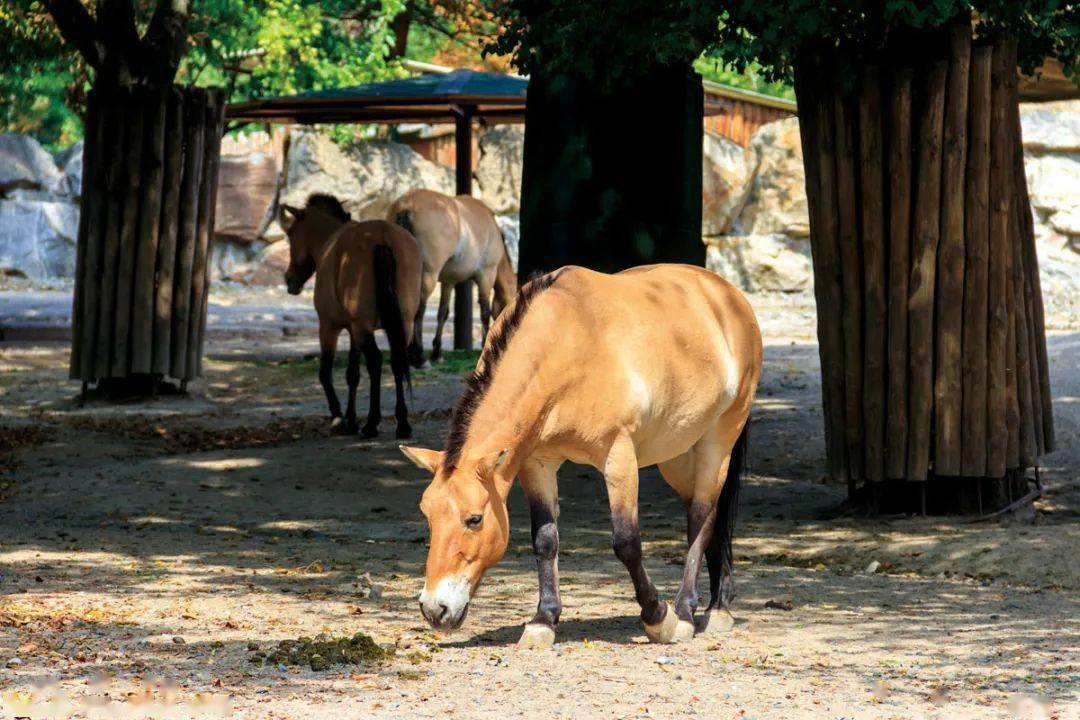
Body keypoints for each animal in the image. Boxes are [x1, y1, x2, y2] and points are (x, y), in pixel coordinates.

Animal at [282, 193, 421, 440]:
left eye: (291, 234)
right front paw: (351, 419)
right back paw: (402, 424)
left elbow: (326, 372)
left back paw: (372, 424)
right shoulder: (354, 331)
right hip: (401, 324)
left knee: (375, 362)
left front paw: (339, 417)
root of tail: (382, 234)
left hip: (362, 327)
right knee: (397, 362)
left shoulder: (330, 327)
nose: (290, 280)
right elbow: (352, 374)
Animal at [388, 188, 518, 362]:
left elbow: (443, 313)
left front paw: (437, 351)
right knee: (419, 309)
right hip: (428, 275)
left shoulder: (448, 282)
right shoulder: (486, 275)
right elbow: (485, 312)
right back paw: (419, 355)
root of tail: (408, 204)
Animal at [401, 264, 764, 647]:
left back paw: (687, 611)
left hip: (717, 442)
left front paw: (658, 618)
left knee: (701, 518)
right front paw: (543, 620)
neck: (565, 342)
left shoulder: (618, 458)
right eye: (427, 515)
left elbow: (626, 542)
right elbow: (545, 540)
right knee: (710, 514)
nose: (434, 609)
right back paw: (718, 604)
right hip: (678, 456)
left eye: (474, 519)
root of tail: (727, 295)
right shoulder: (537, 464)